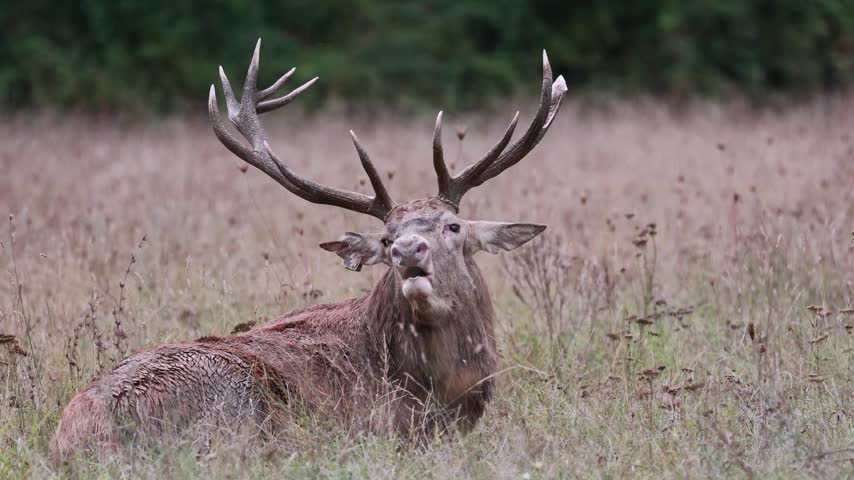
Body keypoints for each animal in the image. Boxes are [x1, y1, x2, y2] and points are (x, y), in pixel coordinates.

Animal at [51, 39, 566, 460]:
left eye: (453, 226)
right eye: (386, 239)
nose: (408, 251)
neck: (445, 391)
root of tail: (86, 433)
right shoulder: (385, 428)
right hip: (238, 410)